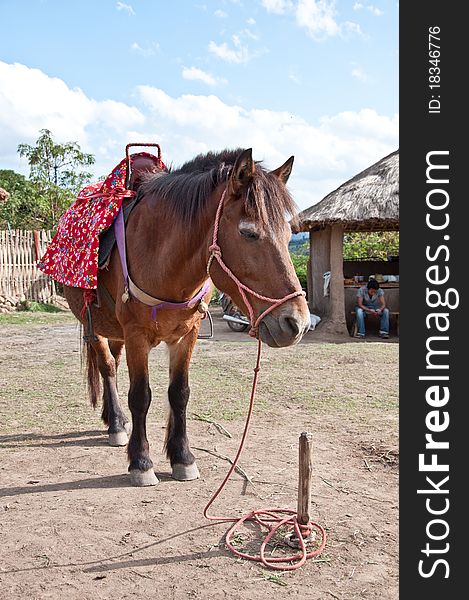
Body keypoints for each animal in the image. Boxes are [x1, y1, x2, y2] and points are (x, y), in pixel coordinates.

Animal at [63, 148, 310, 486]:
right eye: (248, 233)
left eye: (288, 235)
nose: (296, 323)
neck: (162, 255)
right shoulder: (137, 334)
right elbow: (140, 395)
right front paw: (141, 462)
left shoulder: (187, 334)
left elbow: (179, 393)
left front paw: (182, 456)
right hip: (94, 324)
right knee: (108, 366)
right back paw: (115, 423)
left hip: (114, 328)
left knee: (113, 361)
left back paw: (117, 420)